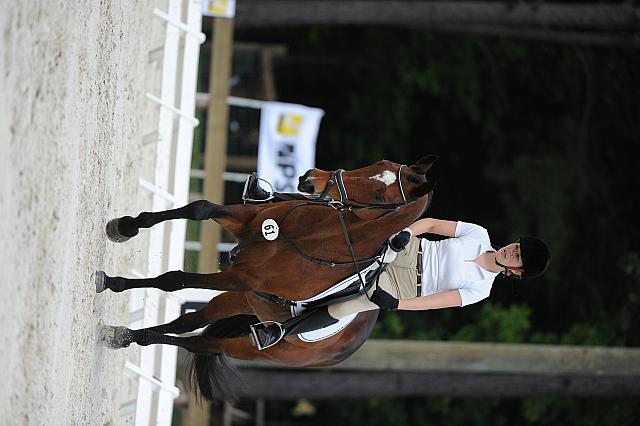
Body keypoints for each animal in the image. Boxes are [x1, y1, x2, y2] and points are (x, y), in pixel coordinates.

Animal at [100, 156, 438, 400]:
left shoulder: (239, 278)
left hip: (251, 338)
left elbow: (173, 280)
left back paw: (130, 336)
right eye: (377, 165)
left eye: (379, 194)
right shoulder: (245, 224)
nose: (309, 180)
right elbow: (199, 208)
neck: (315, 235)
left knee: (201, 342)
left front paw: (110, 281)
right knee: (189, 322)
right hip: (244, 302)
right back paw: (126, 334)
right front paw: (123, 228)